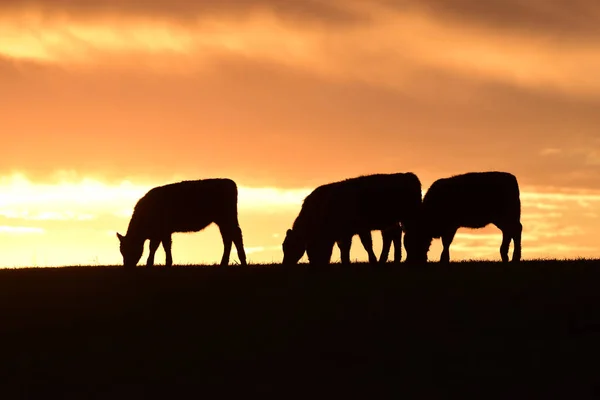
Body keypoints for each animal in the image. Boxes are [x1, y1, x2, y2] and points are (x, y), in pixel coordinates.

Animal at [116, 179, 247, 268]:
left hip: (228, 218)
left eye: (130, 248)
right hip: (222, 221)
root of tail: (228, 182)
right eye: (121, 250)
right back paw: (224, 263)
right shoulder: (162, 233)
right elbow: (163, 246)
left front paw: (153, 263)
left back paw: (242, 261)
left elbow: (157, 246)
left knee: (236, 235)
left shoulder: (161, 232)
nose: (127, 266)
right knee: (228, 238)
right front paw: (165, 263)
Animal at [282, 173, 422, 264]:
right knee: (393, 235)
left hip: (409, 217)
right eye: (283, 246)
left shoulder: (359, 229)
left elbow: (366, 244)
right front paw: (346, 261)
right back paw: (392, 259)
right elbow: (344, 248)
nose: (286, 264)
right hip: (392, 222)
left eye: (290, 245)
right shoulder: (344, 233)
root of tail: (409, 175)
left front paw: (371, 260)